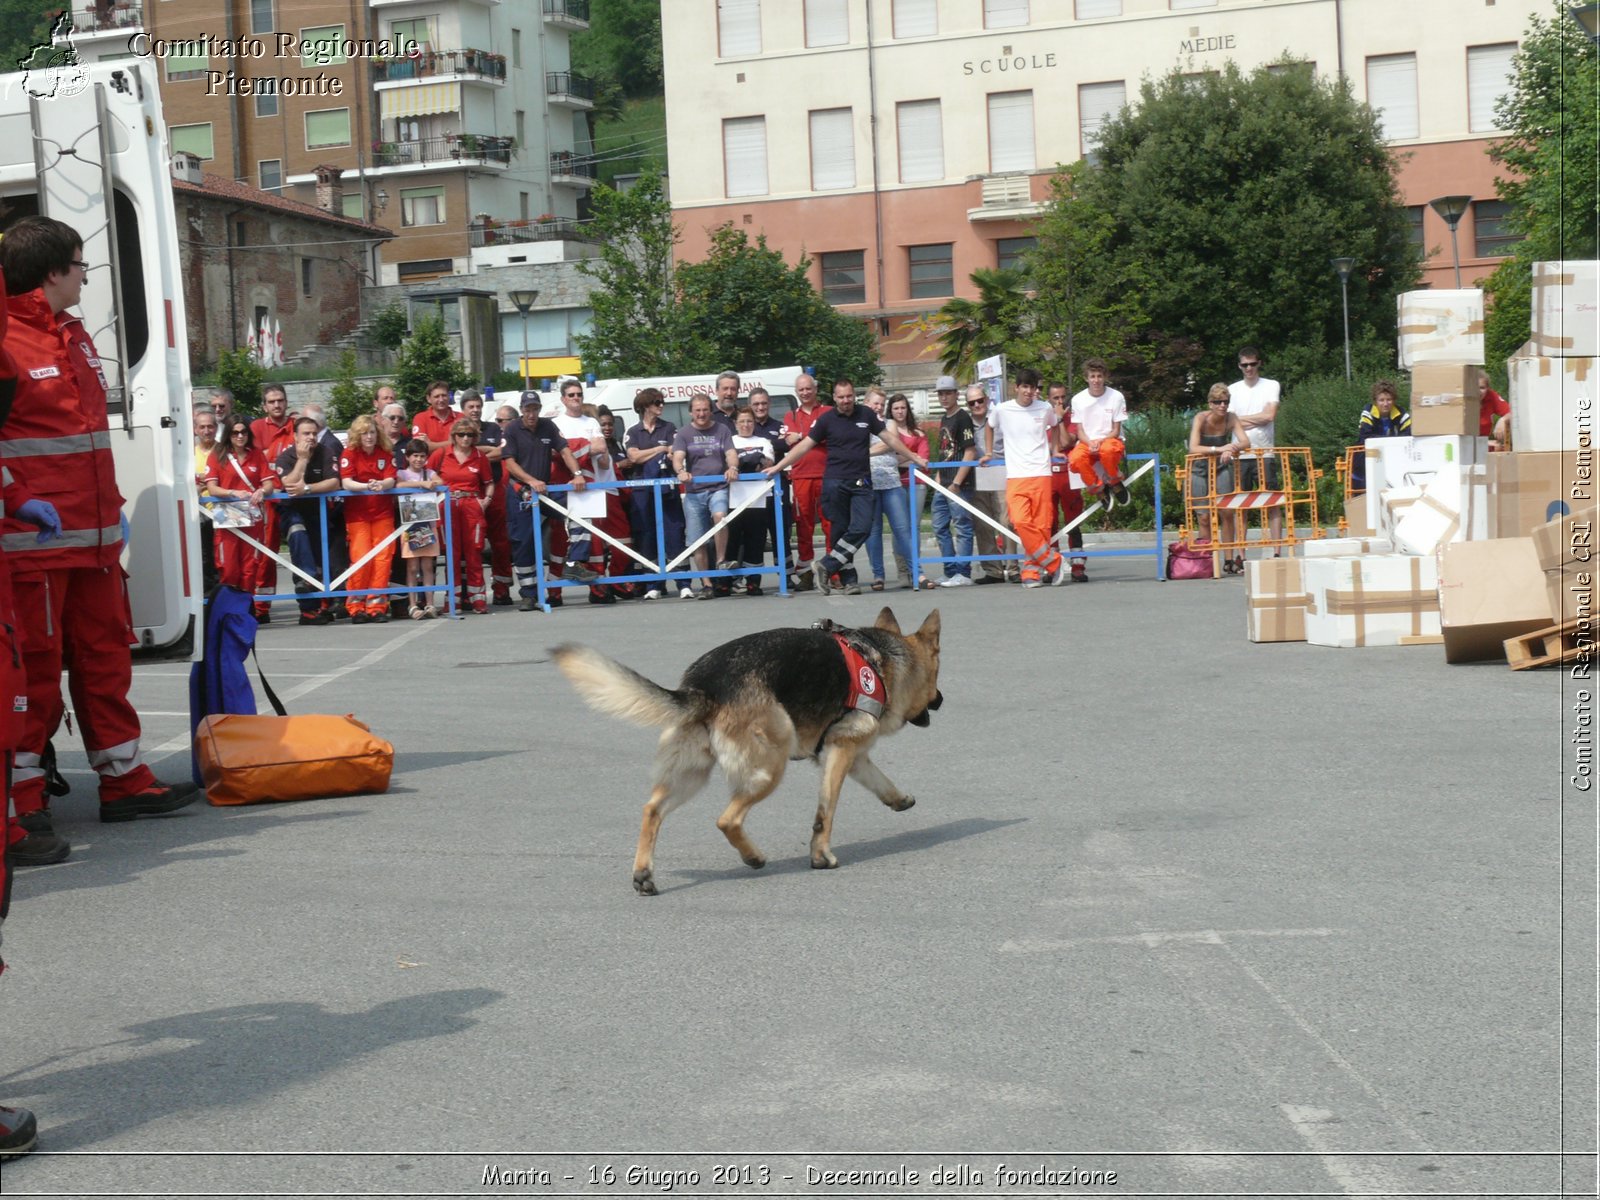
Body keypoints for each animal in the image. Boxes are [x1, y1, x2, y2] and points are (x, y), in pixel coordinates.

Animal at [556, 611, 940, 896]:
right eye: (936, 678)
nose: (941, 700)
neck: (884, 661)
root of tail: (702, 687)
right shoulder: (841, 751)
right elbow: (825, 812)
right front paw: (820, 856)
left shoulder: (852, 755)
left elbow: (881, 782)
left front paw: (899, 799)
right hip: (770, 767)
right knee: (727, 819)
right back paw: (753, 857)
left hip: (692, 775)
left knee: (652, 810)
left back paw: (644, 875)